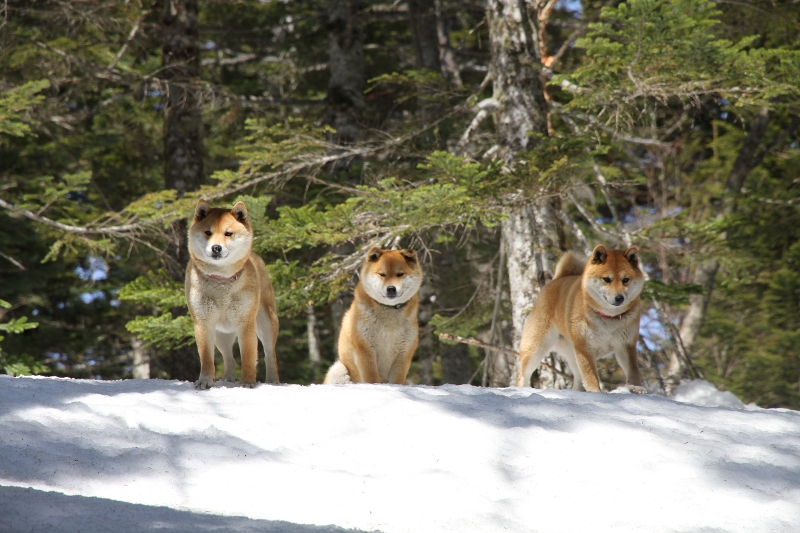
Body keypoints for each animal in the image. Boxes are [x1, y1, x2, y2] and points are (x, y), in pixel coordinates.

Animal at [186, 200, 280, 386]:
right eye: (208, 232)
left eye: (228, 233)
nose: (216, 248)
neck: (221, 281)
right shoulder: (204, 323)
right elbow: (207, 359)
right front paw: (205, 381)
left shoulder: (246, 323)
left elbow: (249, 357)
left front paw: (248, 383)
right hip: (221, 334)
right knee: (230, 358)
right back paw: (227, 380)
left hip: (266, 324)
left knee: (270, 355)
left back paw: (273, 381)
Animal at [324, 245, 424, 382]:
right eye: (382, 274)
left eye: (400, 274)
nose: (391, 288)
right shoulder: (365, 350)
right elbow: (371, 379)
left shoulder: (403, 354)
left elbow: (397, 380)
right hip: (338, 369)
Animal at [516, 244, 648, 390]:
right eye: (607, 279)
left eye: (625, 280)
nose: (619, 298)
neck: (608, 318)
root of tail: (558, 279)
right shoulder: (585, 349)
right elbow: (591, 378)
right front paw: (596, 392)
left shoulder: (625, 346)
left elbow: (633, 370)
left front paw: (637, 388)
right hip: (536, 348)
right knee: (522, 375)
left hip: (572, 354)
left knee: (578, 379)